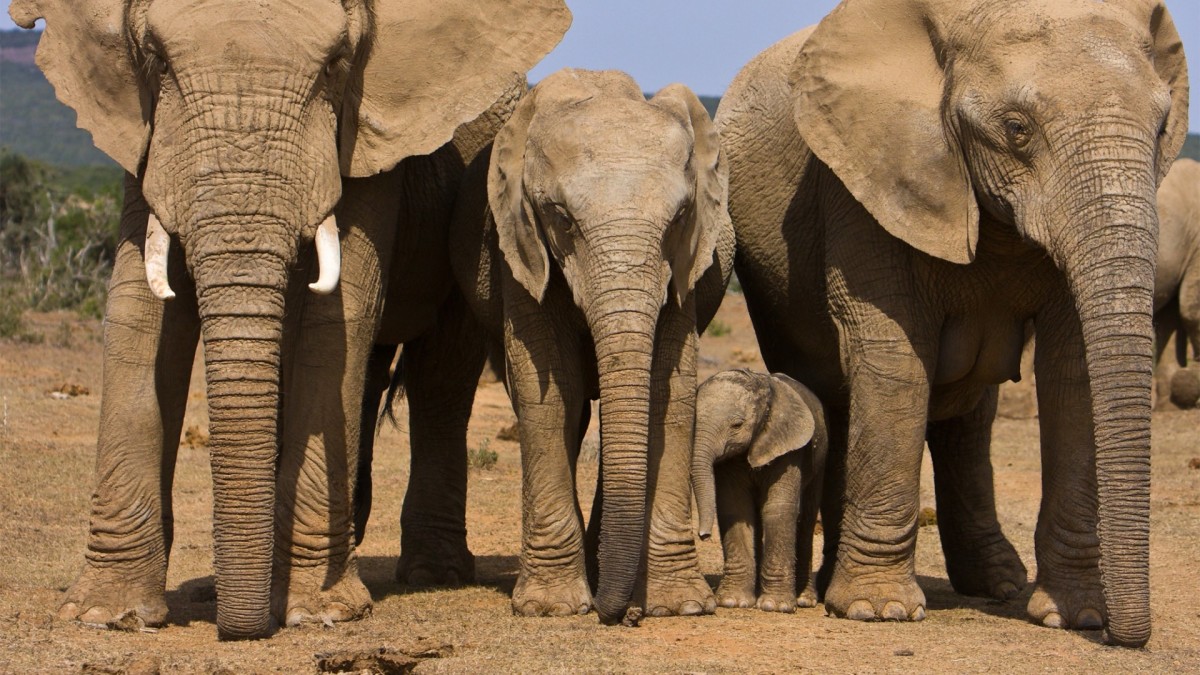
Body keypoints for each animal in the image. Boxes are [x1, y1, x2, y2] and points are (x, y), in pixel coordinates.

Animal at [9, 0, 571, 638]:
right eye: (155, 60)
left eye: (334, 65)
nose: (239, 630)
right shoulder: (146, 139)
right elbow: (139, 312)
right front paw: (107, 614)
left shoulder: (360, 138)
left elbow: (335, 319)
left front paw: (317, 612)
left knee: (439, 380)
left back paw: (433, 572)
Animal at [448, 68, 729, 619]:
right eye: (561, 217)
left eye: (680, 217)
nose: (616, 613)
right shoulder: (521, 249)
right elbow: (552, 393)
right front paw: (551, 607)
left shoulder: (684, 268)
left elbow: (669, 392)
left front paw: (679, 606)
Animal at [691, 367, 830, 610]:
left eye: (737, 425)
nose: (703, 535)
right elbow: (736, 508)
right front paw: (733, 602)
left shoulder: (789, 448)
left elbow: (778, 508)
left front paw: (776, 606)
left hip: (819, 460)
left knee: (806, 518)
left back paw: (804, 600)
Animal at [715, 0, 1185, 643]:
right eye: (1016, 128)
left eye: (1162, 128)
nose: (1124, 636)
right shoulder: (861, 183)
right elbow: (894, 359)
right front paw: (879, 610)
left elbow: (1072, 370)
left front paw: (1075, 616)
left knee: (967, 419)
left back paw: (997, 584)